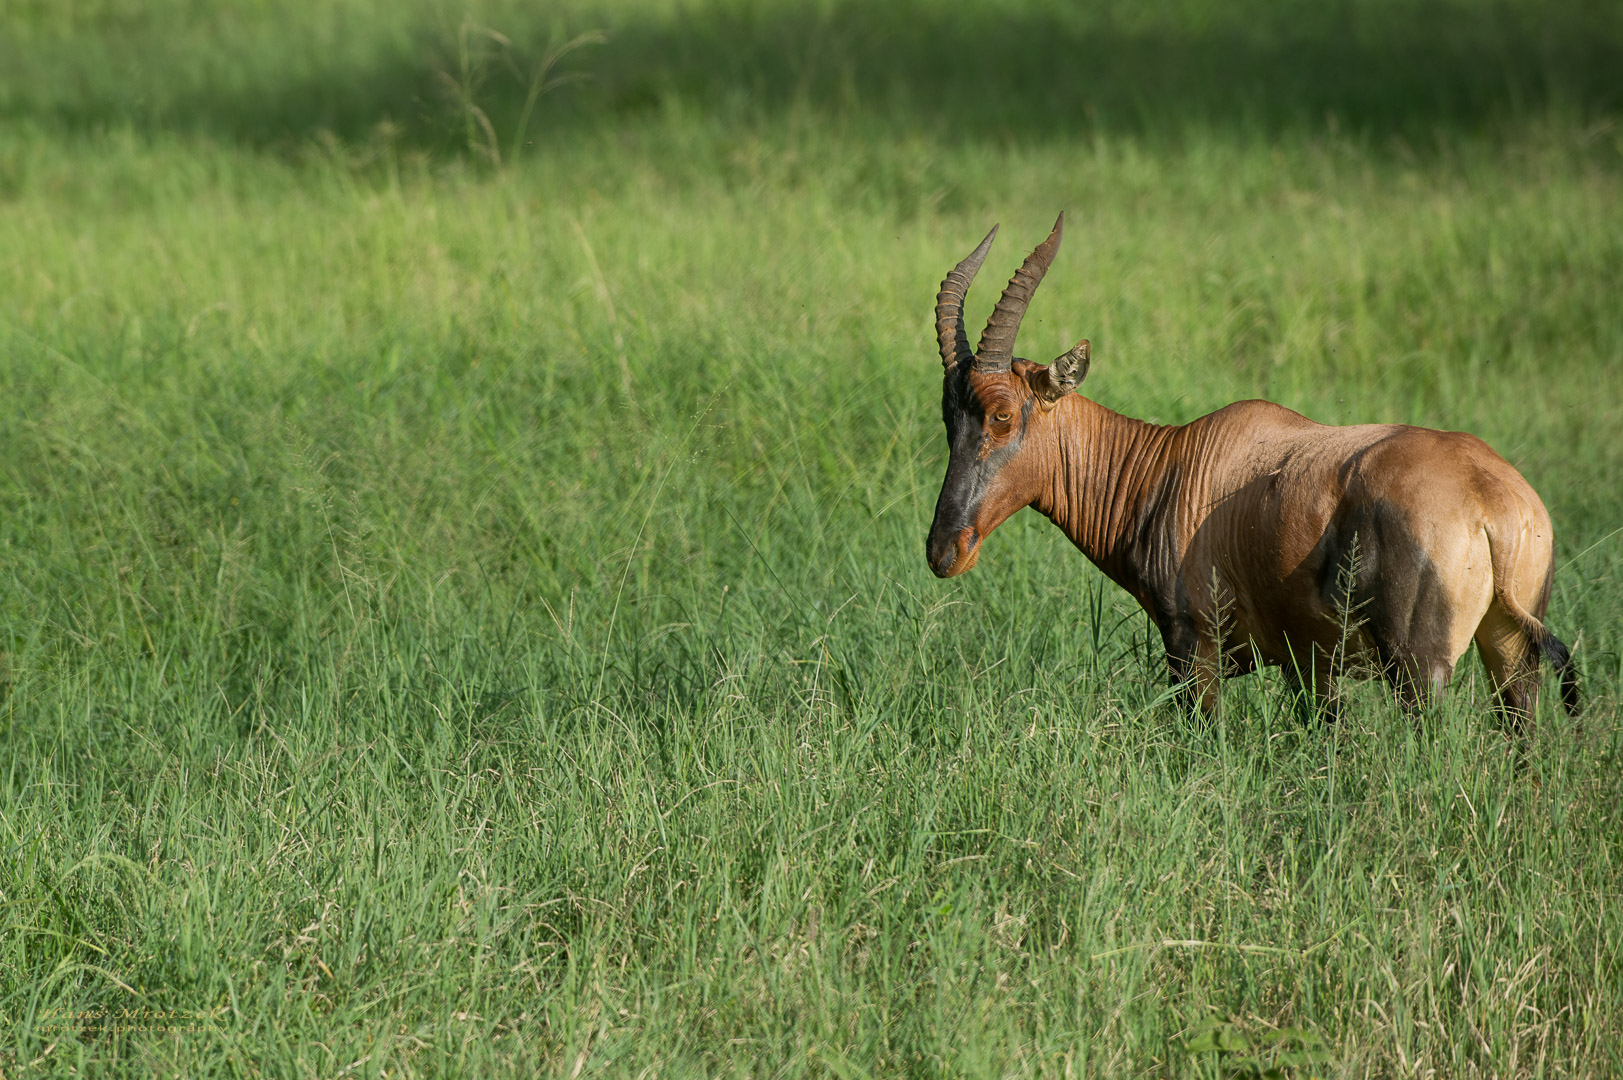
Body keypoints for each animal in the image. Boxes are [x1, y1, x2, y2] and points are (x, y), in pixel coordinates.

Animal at [925, 214, 1579, 726]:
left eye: (1003, 414)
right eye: (948, 416)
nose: (943, 551)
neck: (1174, 464)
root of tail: (1491, 500)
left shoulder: (1195, 648)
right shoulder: (1309, 667)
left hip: (1420, 672)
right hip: (1510, 654)